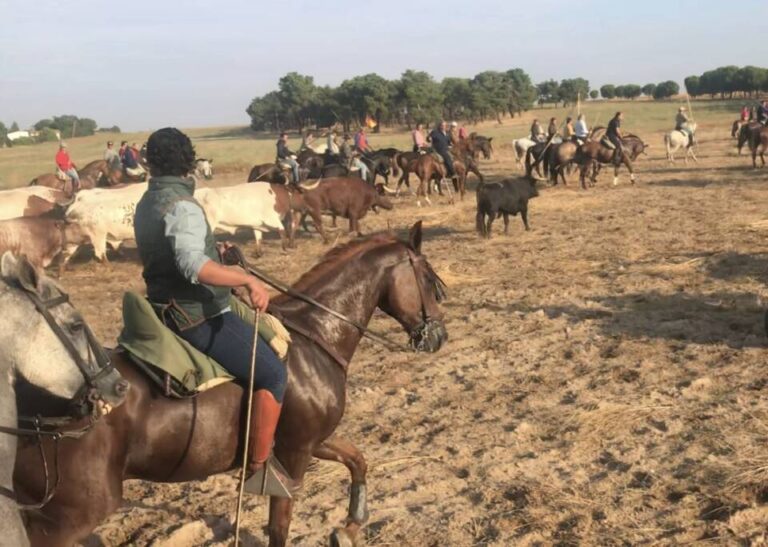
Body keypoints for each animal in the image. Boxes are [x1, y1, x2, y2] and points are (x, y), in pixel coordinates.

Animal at [15, 223, 450, 547]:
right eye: (429, 278)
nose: (438, 336)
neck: (312, 335)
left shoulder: (310, 441)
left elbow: (357, 460)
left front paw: (350, 526)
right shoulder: (294, 454)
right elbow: (280, 526)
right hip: (69, 516)